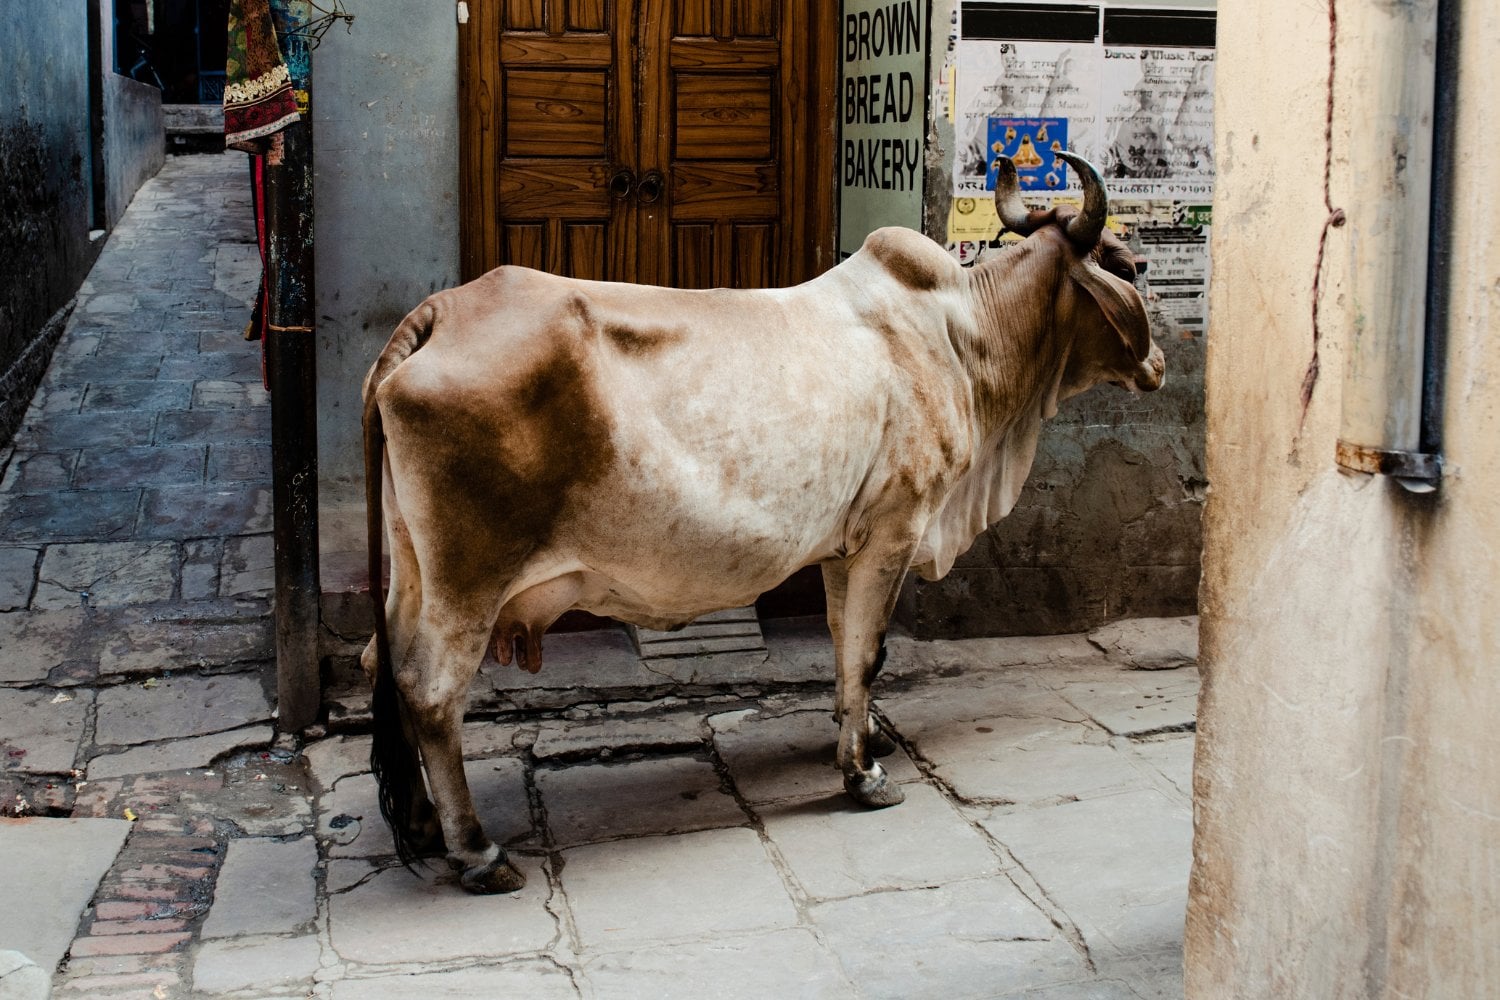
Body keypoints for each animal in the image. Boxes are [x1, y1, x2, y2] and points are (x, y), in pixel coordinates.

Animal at [360, 153, 1164, 894]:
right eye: (1129, 263)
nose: (1159, 362)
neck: (963, 335)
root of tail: (440, 314)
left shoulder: (846, 547)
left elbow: (849, 649)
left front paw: (861, 739)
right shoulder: (895, 530)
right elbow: (866, 654)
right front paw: (863, 775)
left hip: (413, 573)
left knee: (386, 667)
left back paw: (424, 825)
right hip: (468, 583)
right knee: (431, 692)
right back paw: (476, 852)